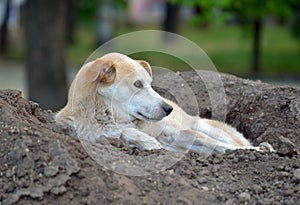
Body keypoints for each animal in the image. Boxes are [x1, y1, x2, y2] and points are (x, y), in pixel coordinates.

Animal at [55, 52, 274, 153]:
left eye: (150, 84)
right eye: (138, 84)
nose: (168, 109)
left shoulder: (176, 134)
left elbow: (217, 145)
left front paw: (254, 152)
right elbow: (125, 133)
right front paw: (145, 141)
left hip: (206, 126)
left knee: (231, 140)